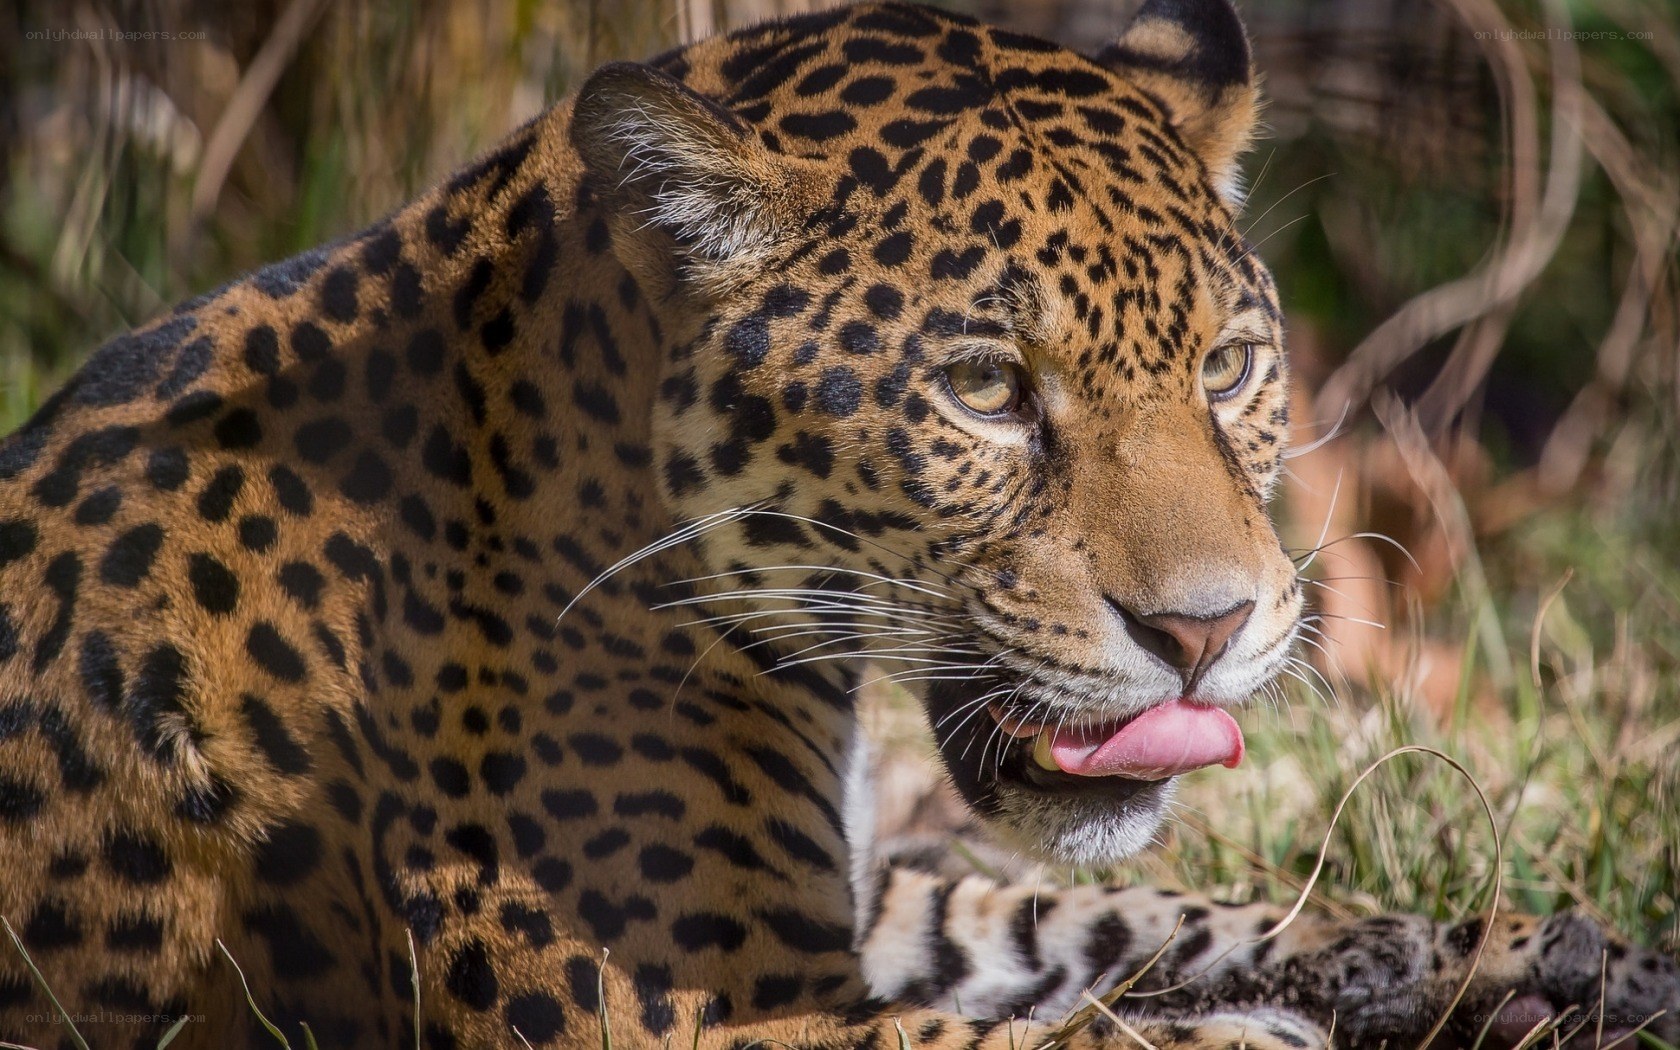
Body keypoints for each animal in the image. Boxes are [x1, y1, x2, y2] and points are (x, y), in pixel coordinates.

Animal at [0, 1, 1675, 1047]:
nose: (1205, 632)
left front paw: (1529, 948)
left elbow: (1120, 906)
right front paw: (1249, 1035)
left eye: (1229, 366)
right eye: (987, 389)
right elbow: (1043, 1030)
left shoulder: (869, 901)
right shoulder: (674, 1011)